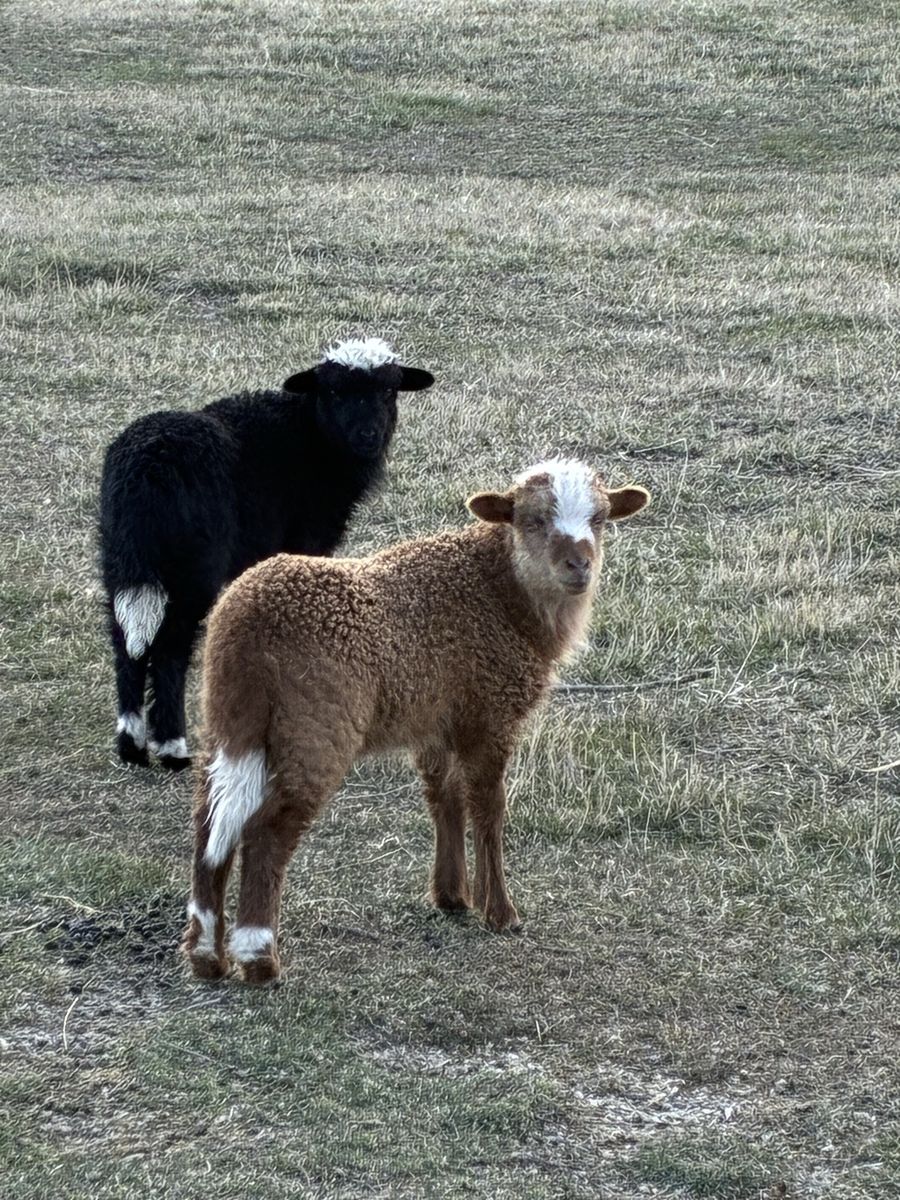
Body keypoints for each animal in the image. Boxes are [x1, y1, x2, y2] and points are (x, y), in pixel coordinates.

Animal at [99, 337, 434, 770]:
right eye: (333, 391)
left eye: (389, 390)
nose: (368, 436)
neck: (312, 437)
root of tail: (144, 467)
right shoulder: (306, 539)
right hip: (191, 565)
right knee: (170, 647)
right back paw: (173, 747)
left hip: (122, 559)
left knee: (125, 642)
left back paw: (131, 743)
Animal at [182, 458, 651, 983]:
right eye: (532, 521)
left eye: (600, 519)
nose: (579, 566)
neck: (502, 591)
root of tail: (247, 626)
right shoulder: (490, 712)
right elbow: (489, 809)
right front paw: (500, 912)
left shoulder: (438, 721)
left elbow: (445, 799)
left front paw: (452, 896)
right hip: (314, 726)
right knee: (267, 830)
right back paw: (259, 956)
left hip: (228, 716)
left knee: (209, 823)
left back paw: (206, 954)